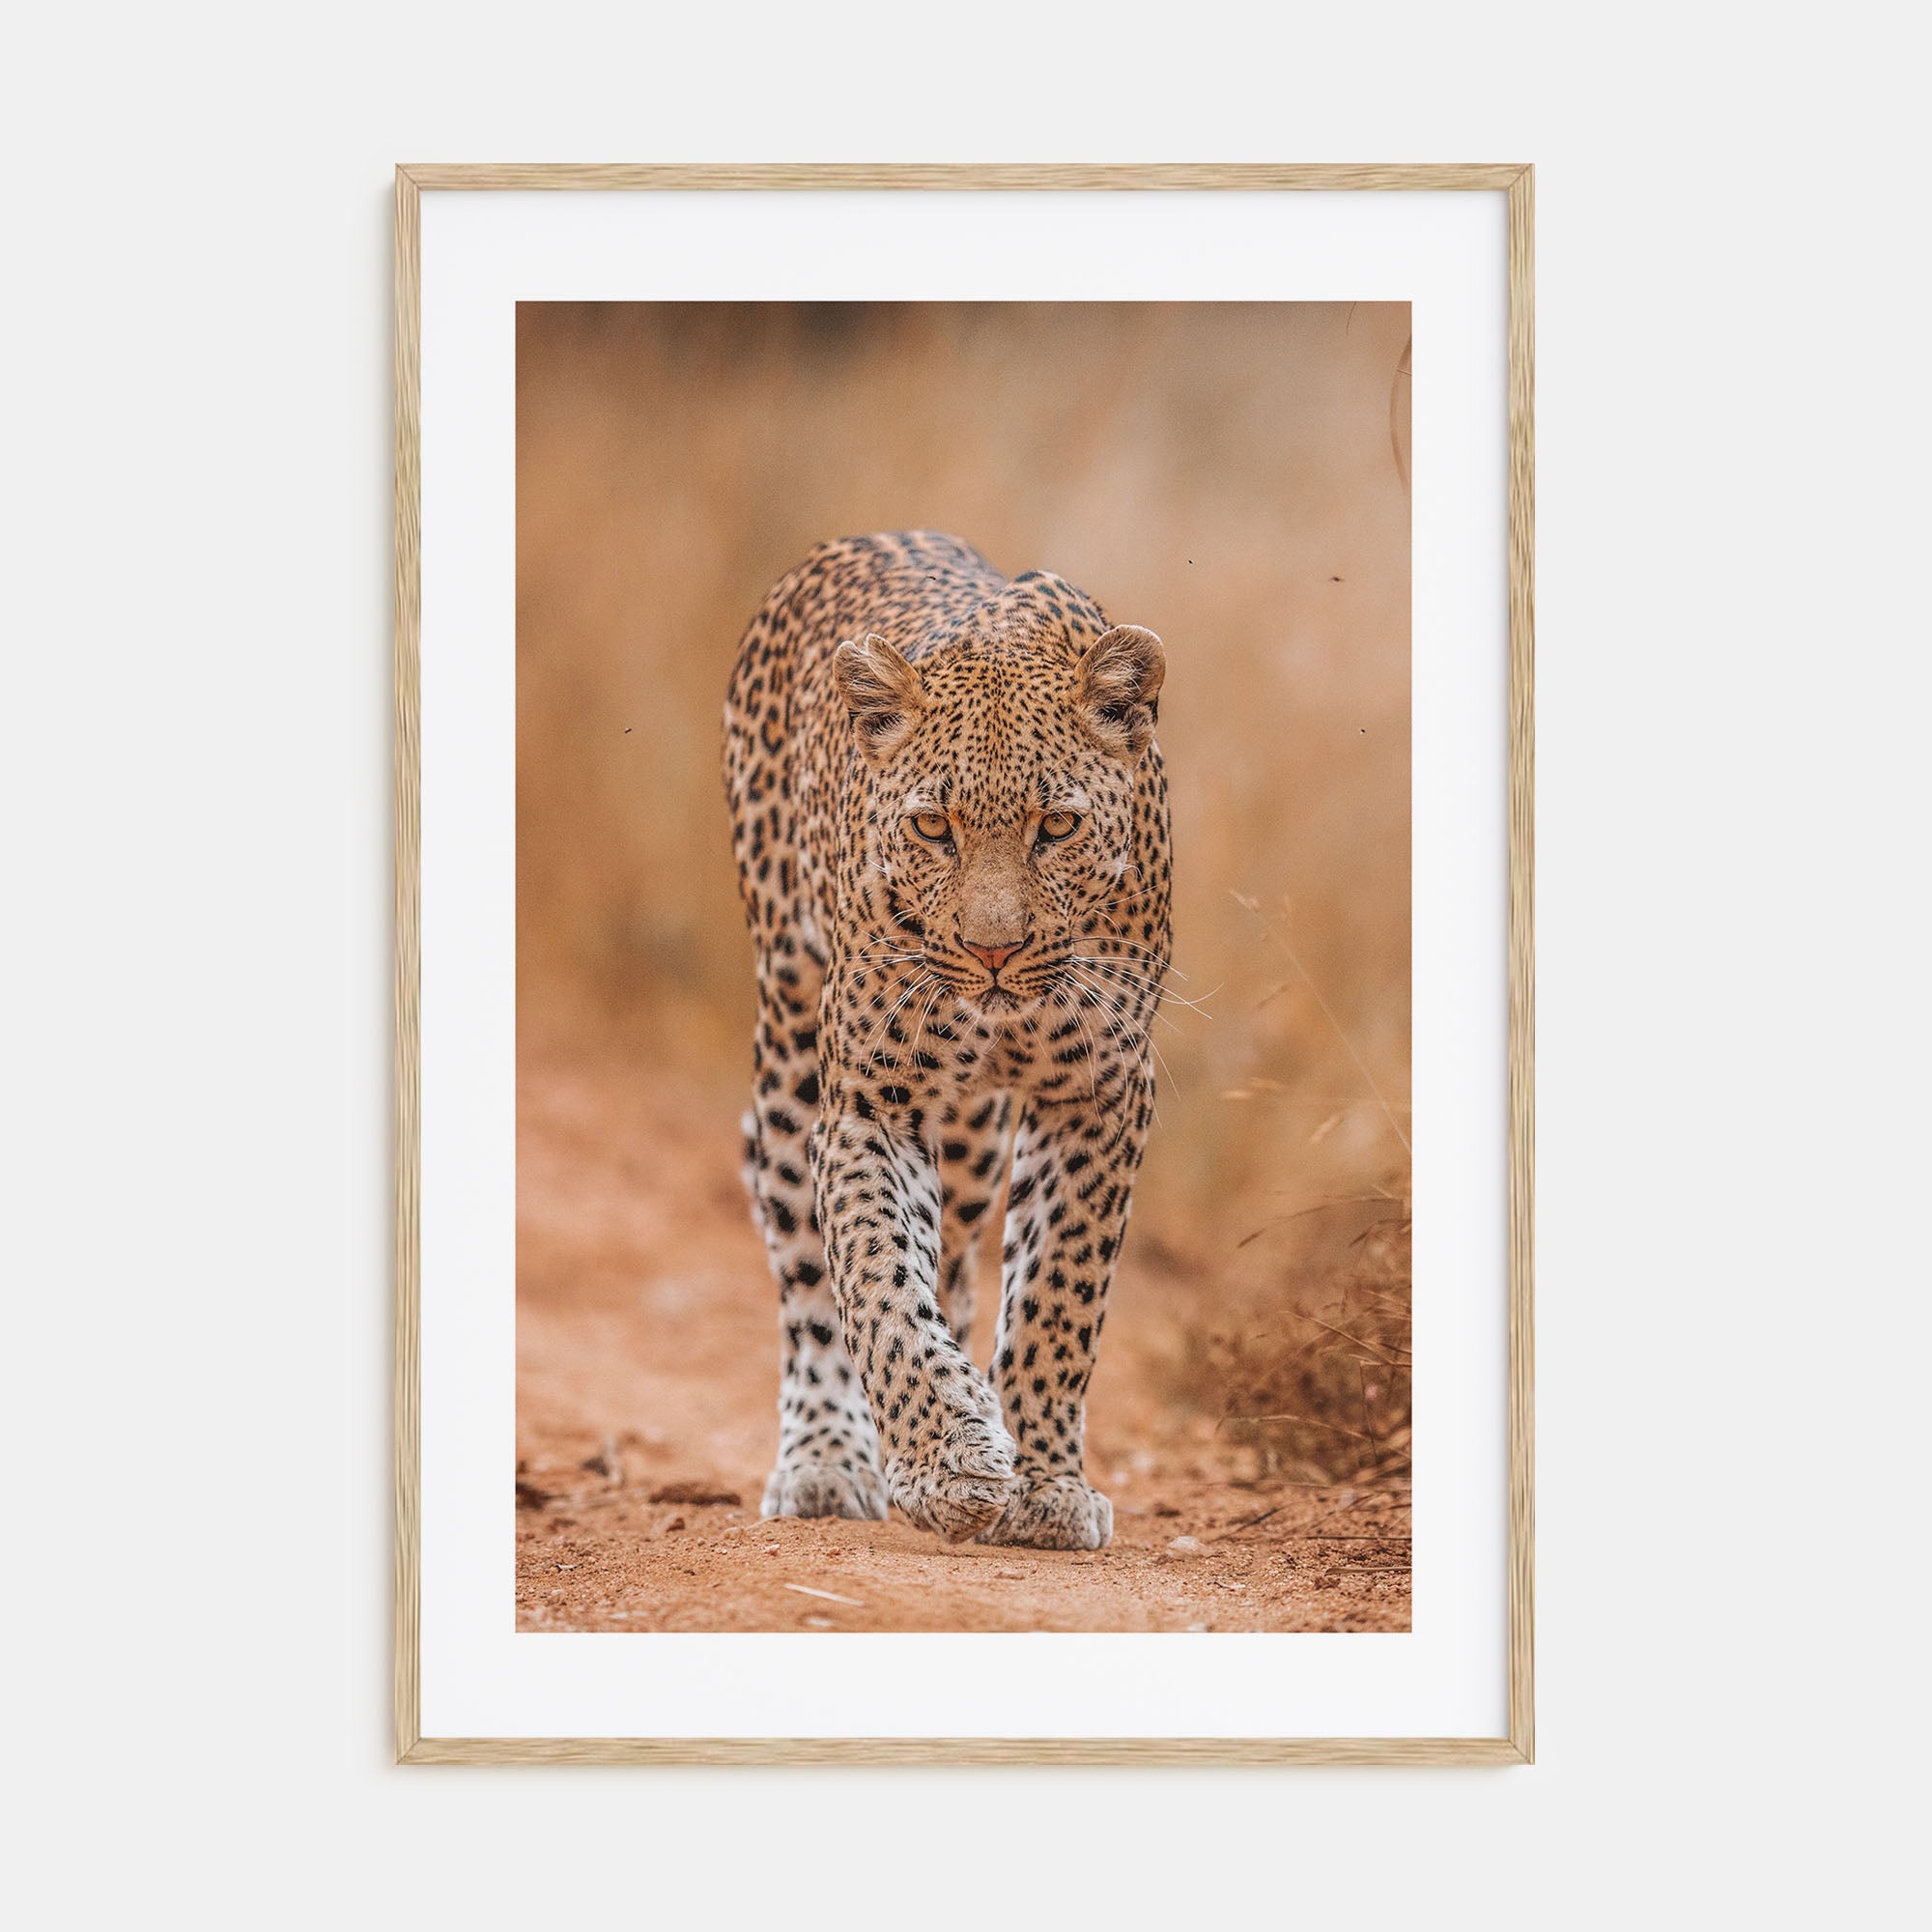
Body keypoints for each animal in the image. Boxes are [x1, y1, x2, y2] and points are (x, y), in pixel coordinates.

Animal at [722, 531, 1172, 1550]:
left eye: (1057, 825)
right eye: (932, 826)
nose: (992, 950)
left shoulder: (1100, 1092)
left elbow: (1057, 1293)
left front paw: (1043, 1483)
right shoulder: (870, 1100)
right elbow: (878, 1280)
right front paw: (946, 1461)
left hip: (971, 1141)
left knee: (962, 1259)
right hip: (790, 1045)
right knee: (806, 1267)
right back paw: (828, 1460)